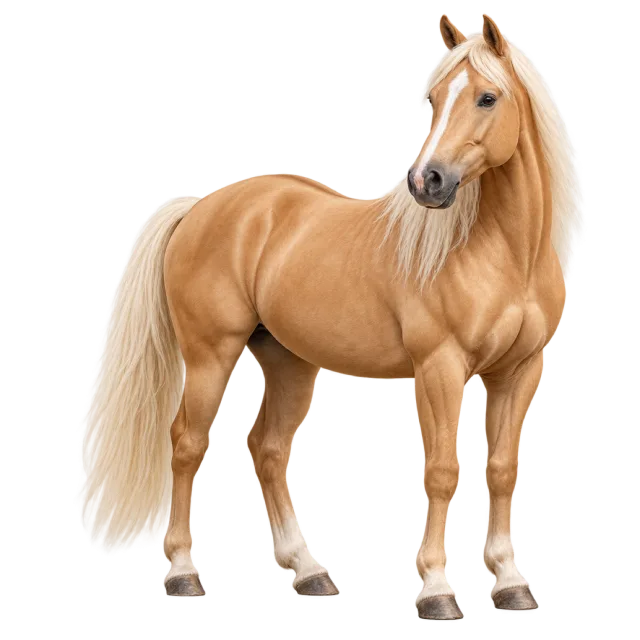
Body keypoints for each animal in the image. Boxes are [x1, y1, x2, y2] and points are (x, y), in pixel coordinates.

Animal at [76, 12, 584, 620]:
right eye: (434, 98)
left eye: (488, 97)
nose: (427, 182)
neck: (504, 255)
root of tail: (201, 207)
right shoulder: (439, 370)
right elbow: (443, 471)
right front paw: (436, 590)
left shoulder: (519, 371)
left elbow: (503, 469)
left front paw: (509, 582)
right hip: (209, 356)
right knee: (187, 445)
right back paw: (181, 572)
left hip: (290, 364)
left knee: (267, 449)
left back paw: (308, 570)